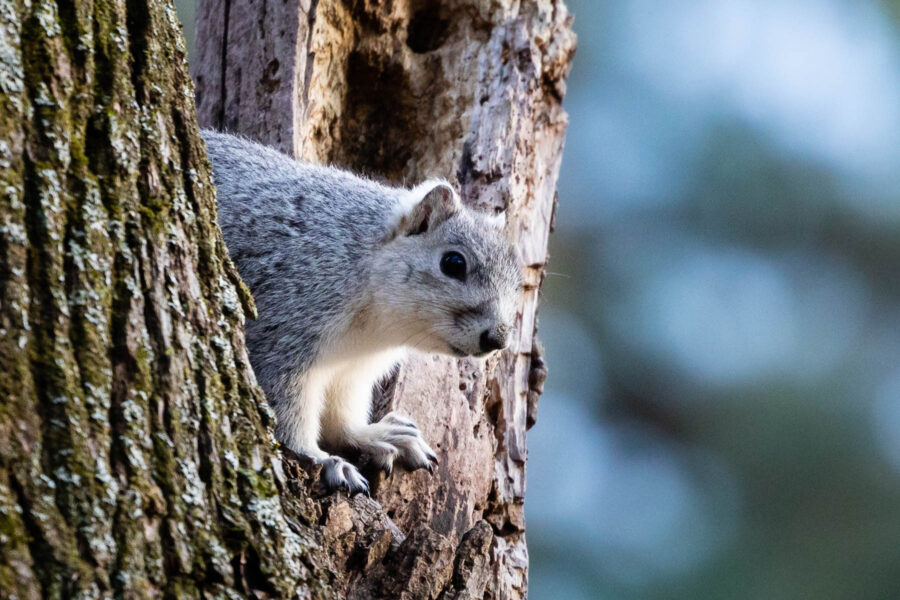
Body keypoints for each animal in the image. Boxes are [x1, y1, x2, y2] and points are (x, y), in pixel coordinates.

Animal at [202, 130, 520, 492]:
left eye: (517, 280)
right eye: (453, 263)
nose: (497, 339)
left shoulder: (351, 368)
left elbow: (342, 415)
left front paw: (378, 435)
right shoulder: (283, 325)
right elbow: (284, 407)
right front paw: (323, 460)